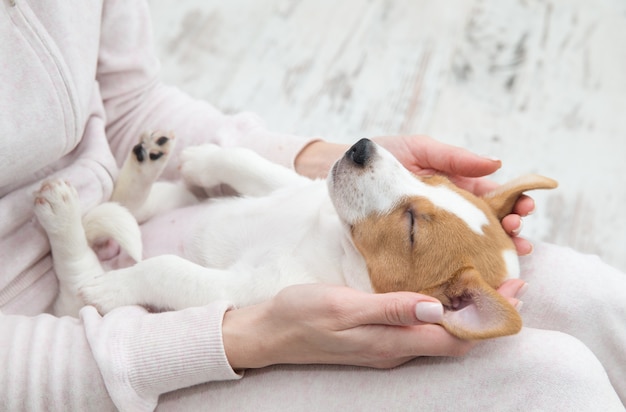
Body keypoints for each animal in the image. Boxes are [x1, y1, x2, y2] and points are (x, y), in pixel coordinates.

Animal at [34, 134, 556, 340]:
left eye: (411, 226)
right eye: (430, 177)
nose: (361, 147)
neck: (331, 240)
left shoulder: (242, 290)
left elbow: (168, 270)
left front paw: (117, 288)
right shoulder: (289, 186)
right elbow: (247, 163)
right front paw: (205, 159)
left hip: (72, 295)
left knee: (77, 274)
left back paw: (63, 216)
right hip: (163, 204)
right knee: (132, 207)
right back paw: (145, 168)